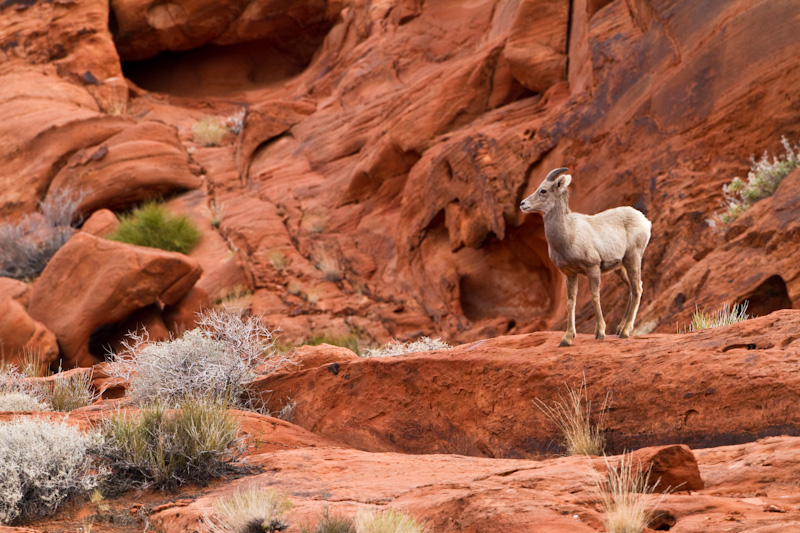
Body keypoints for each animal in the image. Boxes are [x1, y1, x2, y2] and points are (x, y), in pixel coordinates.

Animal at [520, 168, 652, 348]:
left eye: (543, 190)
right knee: (632, 289)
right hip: (620, 268)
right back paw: (620, 329)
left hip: (633, 258)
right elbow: (571, 302)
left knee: (637, 288)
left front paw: (600, 333)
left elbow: (595, 296)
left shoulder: (593, 268)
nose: (522, 204)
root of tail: (645, 220)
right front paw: (567, 338)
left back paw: (625, 332)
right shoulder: (569, 274)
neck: (568, 235)